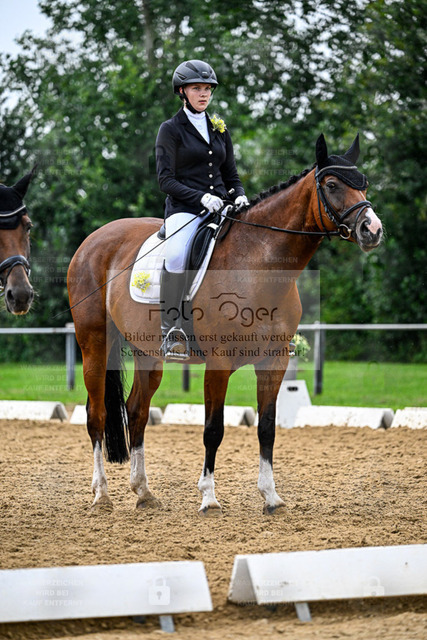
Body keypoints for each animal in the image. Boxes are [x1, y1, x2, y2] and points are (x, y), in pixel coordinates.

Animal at [67, 133, 383, 515]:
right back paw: (101, 495)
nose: (372, 229)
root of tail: (93, 239)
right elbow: (213, 429)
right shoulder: (218, 363)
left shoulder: (274, 361)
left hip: (147, 352)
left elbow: (267, 428)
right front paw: (209, 498)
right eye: (333, 184)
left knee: (137, 411)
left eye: (363, 183)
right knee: (96, 413)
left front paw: (271, 497)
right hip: (95, 344)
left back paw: (143, 492)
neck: (259, 263)